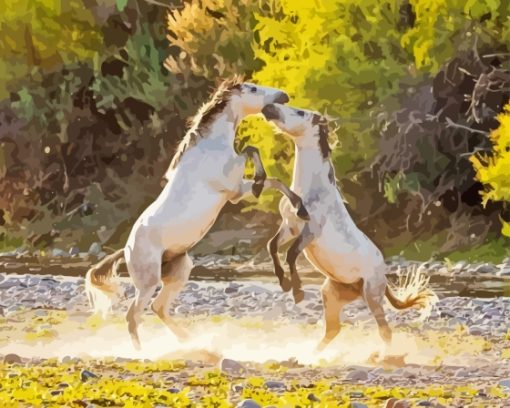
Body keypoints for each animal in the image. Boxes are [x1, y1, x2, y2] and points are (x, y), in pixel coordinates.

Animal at [85, 78, 308, 350]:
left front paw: (300, 208)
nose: (283, 95)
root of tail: (126, 249)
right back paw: (143, 352)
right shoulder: (233, 188)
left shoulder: (236, 190)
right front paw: (264, 186)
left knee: (158, 308)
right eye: (253, 89)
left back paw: (189, 341)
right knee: (133, 315)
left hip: (179, 270)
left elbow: (274, 180)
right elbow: (252, 151)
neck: (211, 146)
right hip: (148, 281)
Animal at [262, 103, 434, 350]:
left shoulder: (311, 231)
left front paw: (297, 292)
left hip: (371, 296)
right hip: (332, 294)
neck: (308, 191)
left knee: (385, 331)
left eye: (300, 112)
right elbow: (273, 246)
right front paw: (285, 284)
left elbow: (291, 254)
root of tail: (383, 272)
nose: (269, 107)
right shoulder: (290, 227)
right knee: (333, 330)